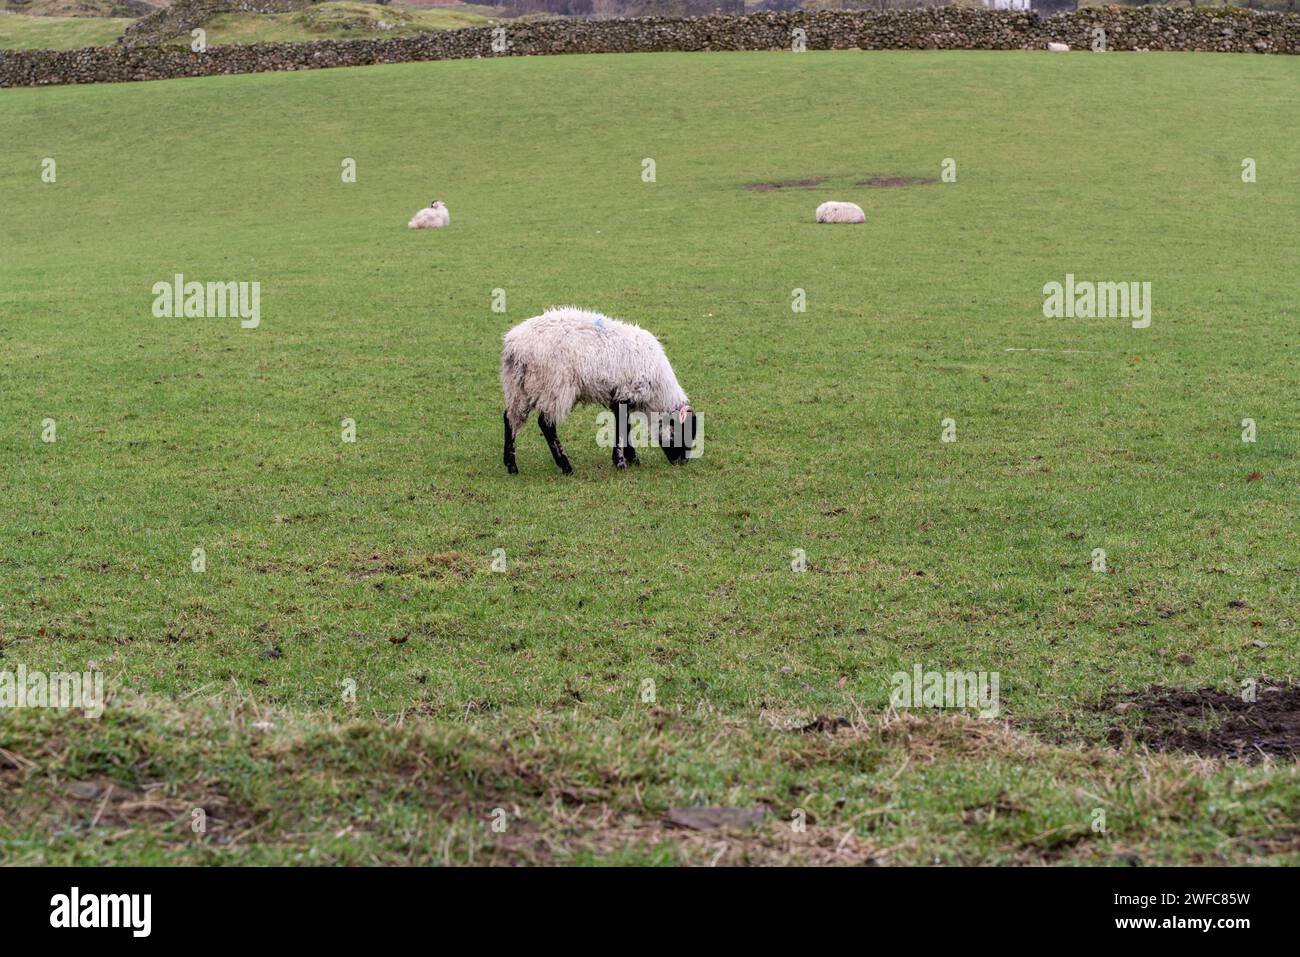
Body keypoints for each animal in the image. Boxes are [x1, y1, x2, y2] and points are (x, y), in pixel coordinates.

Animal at [500, 307, 697, 474]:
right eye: (683, 432)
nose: (683, 462)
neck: (658, 391)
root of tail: (515, 347)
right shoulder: (626, 393)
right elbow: (621, 428)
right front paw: (620, 463)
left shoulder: (618, 395)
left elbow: (624, 426)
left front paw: (632, 458)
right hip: (554, 386)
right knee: (546, 424)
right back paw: (566, 466)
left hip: (518, 386)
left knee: (509, 417)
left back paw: (511, 465)